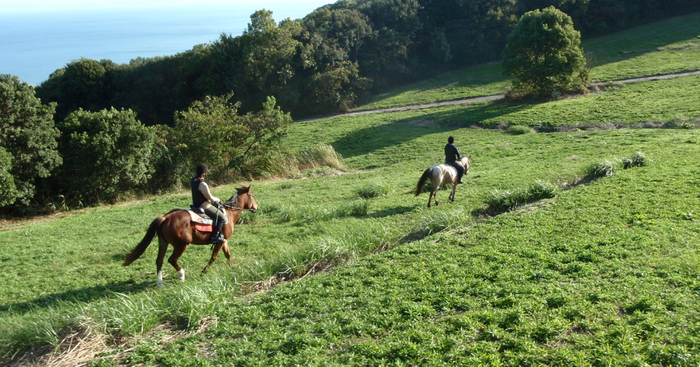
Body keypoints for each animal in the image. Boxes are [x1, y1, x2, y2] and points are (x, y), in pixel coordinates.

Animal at [124, 185, 258, 288]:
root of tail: (166, 217)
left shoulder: (223, 240)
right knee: (171, 260)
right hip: (182, 245)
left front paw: (232, 267)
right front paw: (204, 271)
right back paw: (181, 275)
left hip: (163, 243)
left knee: (159, 261)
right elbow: (214, 257)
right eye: (252, 195)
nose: (256, 207)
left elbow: (228, 254)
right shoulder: (220, 242)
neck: (229, 213)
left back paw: (160, 283)